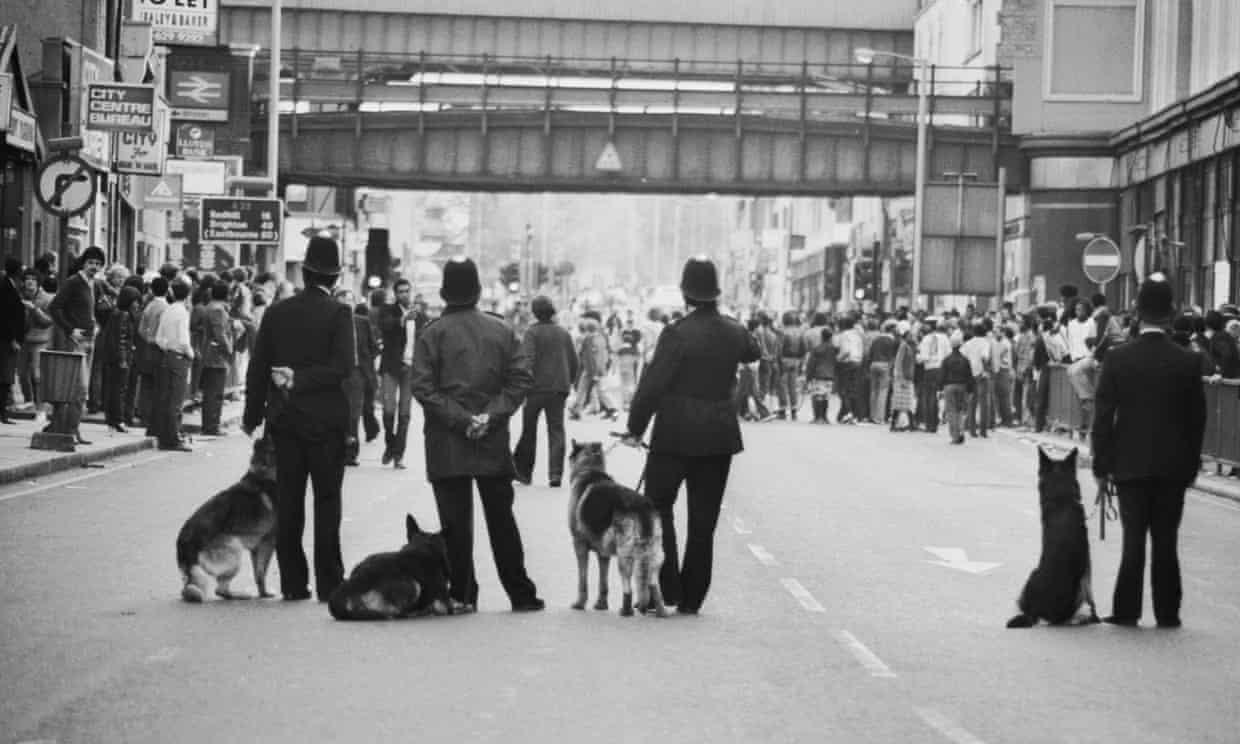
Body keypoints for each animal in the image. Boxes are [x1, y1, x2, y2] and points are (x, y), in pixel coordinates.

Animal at [177, 438, 279, 602]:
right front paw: (264, 594)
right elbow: (262, 572)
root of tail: (184, 544)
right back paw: (241, 595)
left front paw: (261, 593)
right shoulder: (268, 542)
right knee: (220, 590)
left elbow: (257, 574)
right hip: (234, 548)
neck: (263, 474)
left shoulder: (256, 547)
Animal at [567, 441, 669, 615]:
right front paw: (601, 604)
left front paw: (580, 603)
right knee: (653, 584)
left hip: (625, 555)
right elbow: (603, 582)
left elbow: (583, 580)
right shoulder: (603, 553)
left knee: (628, 587)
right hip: (654, 553)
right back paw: (659, 610)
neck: (589, 468)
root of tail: (642, 505)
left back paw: (626, 610)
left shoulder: (579, 545)